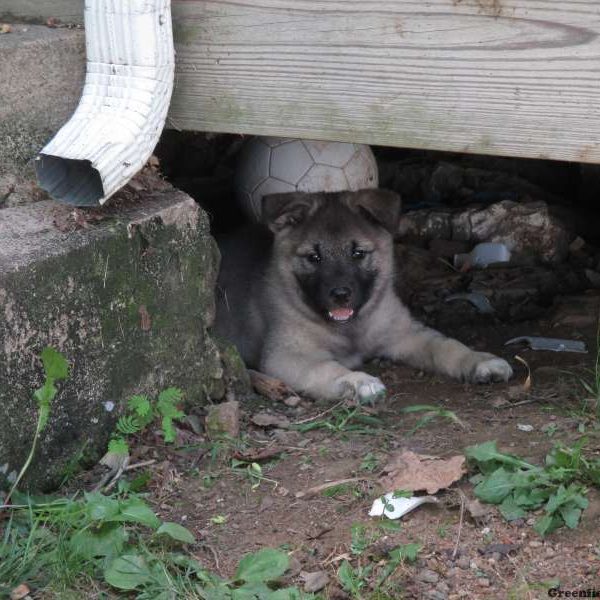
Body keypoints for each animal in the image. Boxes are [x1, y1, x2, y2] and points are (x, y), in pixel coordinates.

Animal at [214, 189, 510, 404]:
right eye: (314, 257)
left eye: (358, 253)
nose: (340, 294)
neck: (351, 329)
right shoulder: (286, 355)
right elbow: (325, 368)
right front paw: (356, 381)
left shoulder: (405, 332)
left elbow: (446, 345)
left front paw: (480, 360)